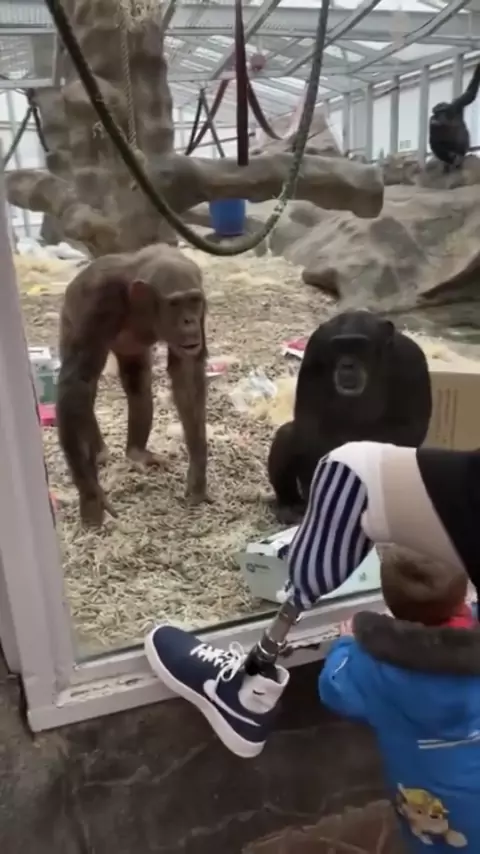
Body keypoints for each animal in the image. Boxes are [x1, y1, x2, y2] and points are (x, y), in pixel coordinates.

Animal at [56, 244, 208, 528]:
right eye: (174, 303)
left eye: (194, 300)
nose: (189, 321)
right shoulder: (97, 303)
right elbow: (78, 383)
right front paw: (90, 495)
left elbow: (187, 371)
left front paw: (197, 476)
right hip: (68, 319)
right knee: (85, 393)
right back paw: (99, 453)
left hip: (132, 351)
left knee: (138, 382)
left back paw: (137, 453)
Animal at [268, 311, 432, 524]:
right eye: (339, 346)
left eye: (359, 345)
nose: (347, 364)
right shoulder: (315, 350)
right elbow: (309, 417)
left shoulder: (412, 359)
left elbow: (412, 425)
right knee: (287, 434)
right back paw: (290, 504)